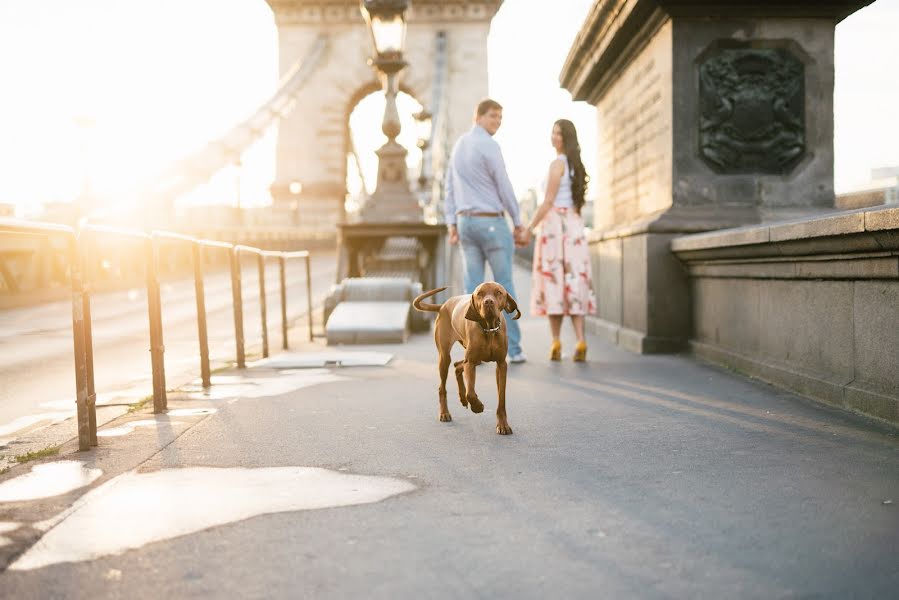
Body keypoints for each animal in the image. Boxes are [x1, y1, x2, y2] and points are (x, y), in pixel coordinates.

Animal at [414, 284, 520, 434]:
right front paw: (477, 407)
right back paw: (445, 413)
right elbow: (471, 393)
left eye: (499, 293)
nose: (488, 302)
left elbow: (501, 398)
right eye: (480, 293)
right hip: (445, 357)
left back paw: (462, 398)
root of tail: (443, 305)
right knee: (443, 386)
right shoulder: (470, 363)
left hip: (475, 359)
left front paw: (503, 424)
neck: (489, 329)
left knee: (457, 366)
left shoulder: (501, 365)